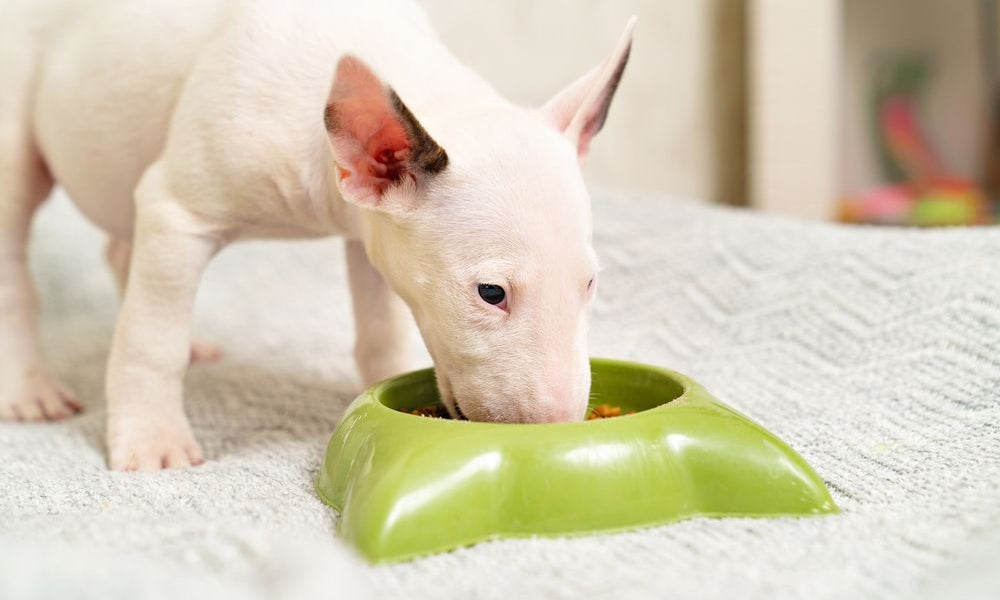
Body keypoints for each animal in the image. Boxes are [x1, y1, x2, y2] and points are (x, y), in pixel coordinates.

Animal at [0, 0, 636, 468]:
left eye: (590, 285)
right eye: (491, 293)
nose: (556, 425)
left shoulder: (371, 232)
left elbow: (380, 329)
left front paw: (385, 384)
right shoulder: (177, 212)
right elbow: (151, 342)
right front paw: (152, 441)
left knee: (120, 247)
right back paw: (29, 388)